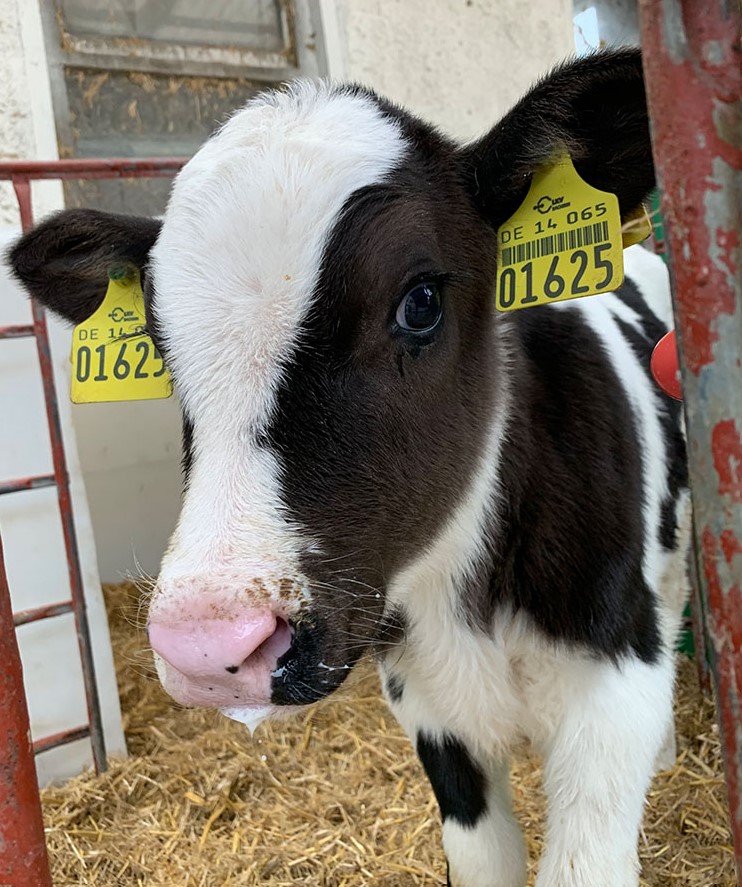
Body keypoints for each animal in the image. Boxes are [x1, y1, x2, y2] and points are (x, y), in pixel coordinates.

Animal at [10, 46, 692, 887]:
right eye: (158, 347)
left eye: (421, 301)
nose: (206, 645)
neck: (462, 600)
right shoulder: (429, 711)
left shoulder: (614, 690)